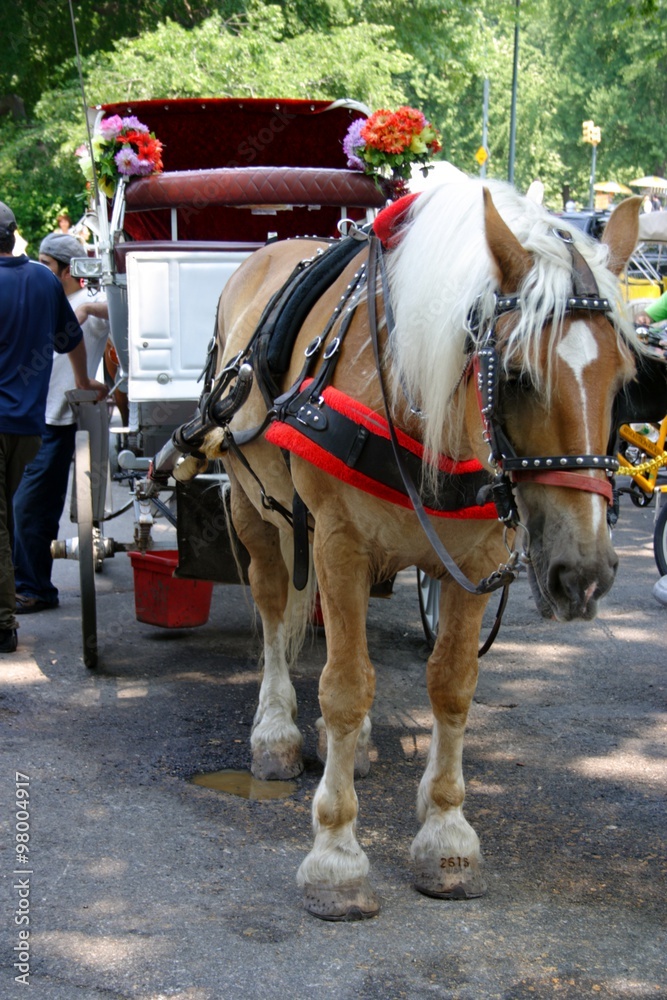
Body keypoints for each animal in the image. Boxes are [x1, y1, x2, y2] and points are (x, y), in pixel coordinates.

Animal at [184, 182, 640, 920]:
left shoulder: (473, 562)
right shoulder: (337, 541)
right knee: (275, 612)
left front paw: (446, 835)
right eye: (516, 376)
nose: (585, 575)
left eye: (623, 380)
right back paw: (276, 730)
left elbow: (451, 685)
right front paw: (336, 855)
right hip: (254, 509)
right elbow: (343, 686)